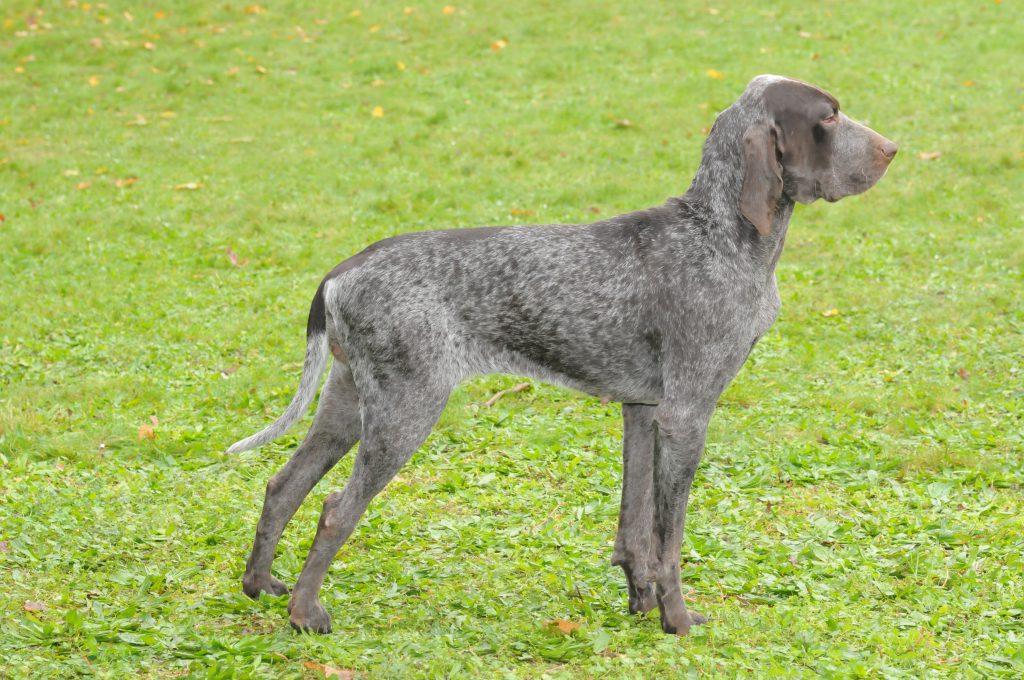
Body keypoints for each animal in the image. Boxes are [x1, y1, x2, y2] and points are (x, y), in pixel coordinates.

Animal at [226, 74, 897, 630]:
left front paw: (642, 605)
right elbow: (669, 537)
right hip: (404, 412)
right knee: (335, 510)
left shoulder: (642, 410)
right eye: (829, 117)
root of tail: (343, 271)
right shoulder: (687, 415)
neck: (717, 231)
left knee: (282, 487)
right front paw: (677, 620)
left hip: (347, 405)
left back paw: (262, 586)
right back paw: (305, 613)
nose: (892, 148)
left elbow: (635, 529)